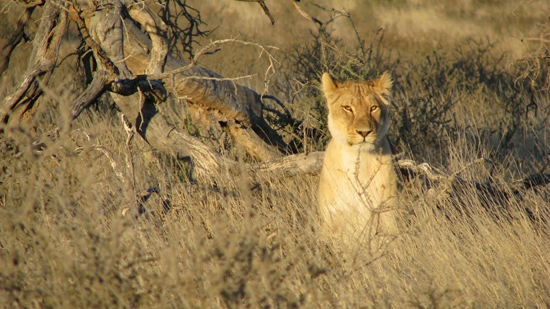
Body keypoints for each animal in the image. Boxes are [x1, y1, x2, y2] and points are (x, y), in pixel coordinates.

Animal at [320, 71, 402, 241]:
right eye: (347, 108)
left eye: (373, 108)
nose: (364, 132)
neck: (357, 158)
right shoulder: (331, 221)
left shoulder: (388, 218)